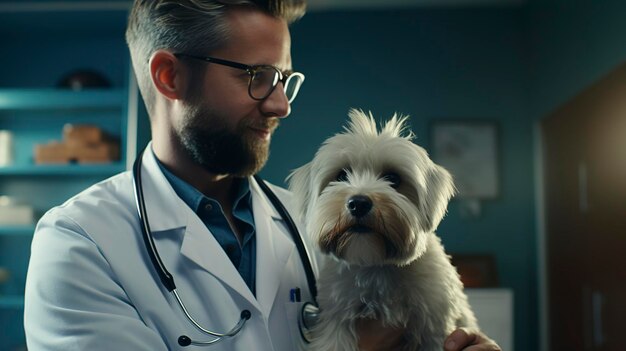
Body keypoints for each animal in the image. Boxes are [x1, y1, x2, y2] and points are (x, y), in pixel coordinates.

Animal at [286, 110, 476, 351]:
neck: (376, 267)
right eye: (341, 175)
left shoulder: (434, 327)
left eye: (393, 178)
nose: (358, 203)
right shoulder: (335, 326)